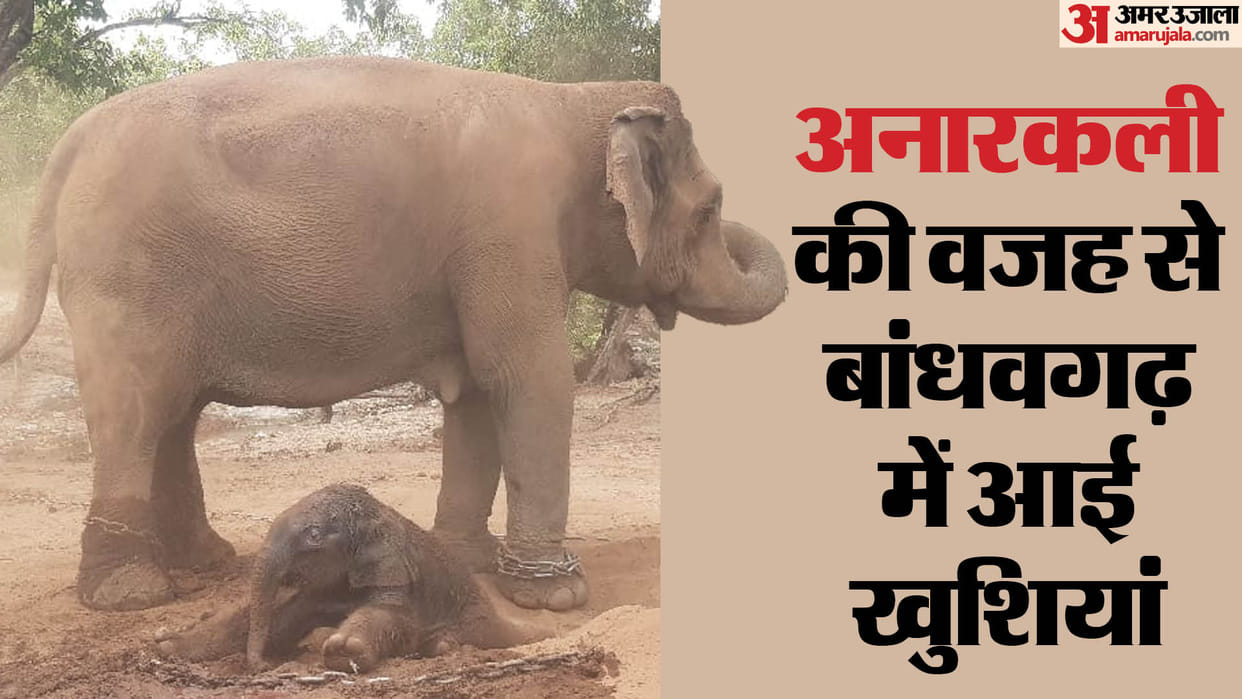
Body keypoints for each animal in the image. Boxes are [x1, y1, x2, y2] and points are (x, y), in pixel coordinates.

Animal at [0, 56, 787, 613]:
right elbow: (527, 378)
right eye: (711, 208)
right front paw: (555, 596)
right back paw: (130, 593)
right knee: (134, 413)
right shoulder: (510, 229)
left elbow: (475, 390)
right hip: (127, 275)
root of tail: (69, 144)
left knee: (173, 415)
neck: (576, 99)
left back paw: (207, 563)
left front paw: (465, 559)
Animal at [154, 483, 543, 671]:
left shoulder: (395, 576)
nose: (262, 666)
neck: (378, 512)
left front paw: (344, 651)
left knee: (450, 640)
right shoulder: (321, 588)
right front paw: (169, 646)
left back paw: (440, 647)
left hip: (473, 623)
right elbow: (284, 620)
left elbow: (391, 617)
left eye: (313, 534)